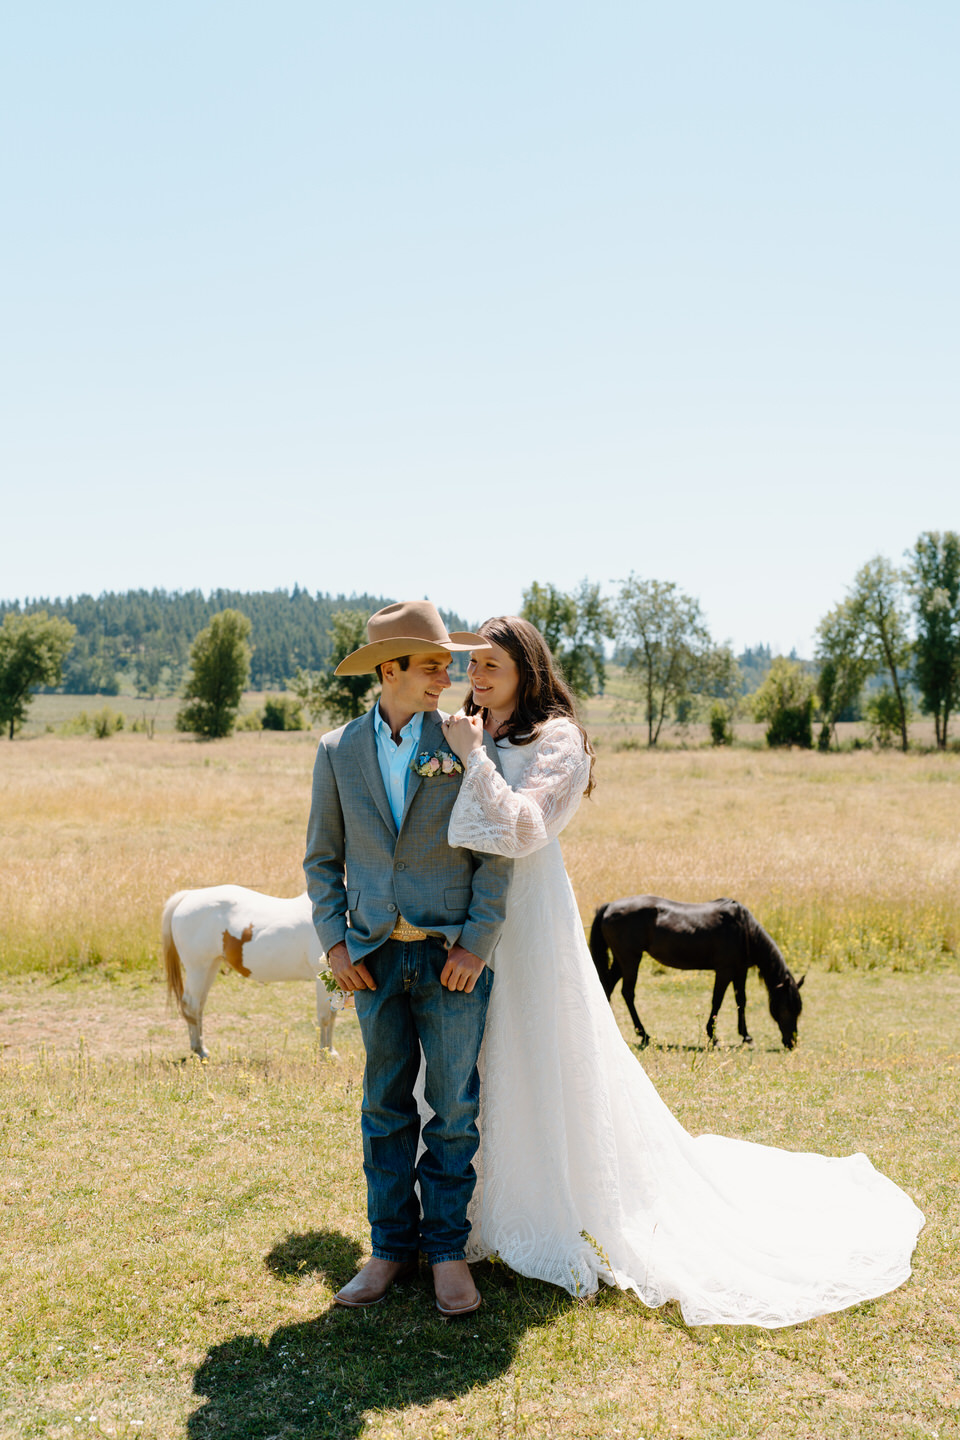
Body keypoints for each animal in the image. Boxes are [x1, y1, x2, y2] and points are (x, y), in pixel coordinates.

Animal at [159, 881, 336, 1065]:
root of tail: (188, 896)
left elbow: (332, 1015)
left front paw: (330, 1051)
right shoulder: (321, 978)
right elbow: (325, 1016)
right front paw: (325, 1054)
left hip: (210, 967)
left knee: (199, 1006)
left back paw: (201, 1048)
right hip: (197, 968)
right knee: (191, 1006)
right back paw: (200, 1051)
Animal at [592, 892, 805, 1054]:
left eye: (798, 1010)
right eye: (786, 1008)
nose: (792, 1043)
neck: (744, 929)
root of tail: (609, 907)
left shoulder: (740, 970)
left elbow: (741, 1001)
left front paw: (746, 1036)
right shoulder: (725, 971)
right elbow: (717, 1001)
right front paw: (713, 1036)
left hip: (621, 960)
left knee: (608, 986)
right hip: (630, 959)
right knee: (627, 993)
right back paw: (644, 1034)